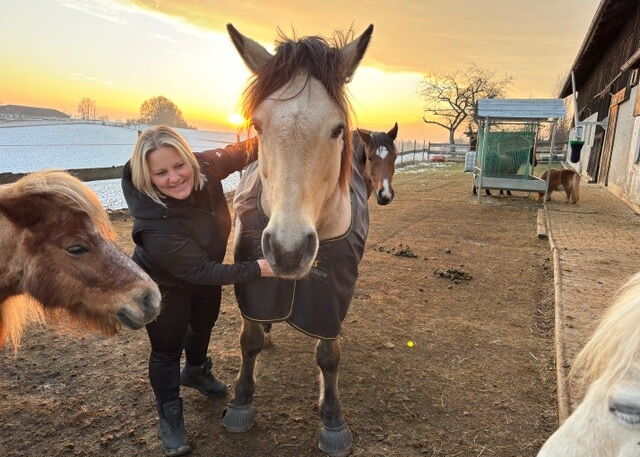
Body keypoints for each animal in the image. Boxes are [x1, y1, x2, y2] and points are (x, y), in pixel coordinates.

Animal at [222, 24, 373, 456]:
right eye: (258, 126)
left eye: (337, 129)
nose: (288, 251)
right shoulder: (252, 283)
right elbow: (249, 338)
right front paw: (242, 401)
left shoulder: (333, 296)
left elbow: (329, 354)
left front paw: (332, 418)